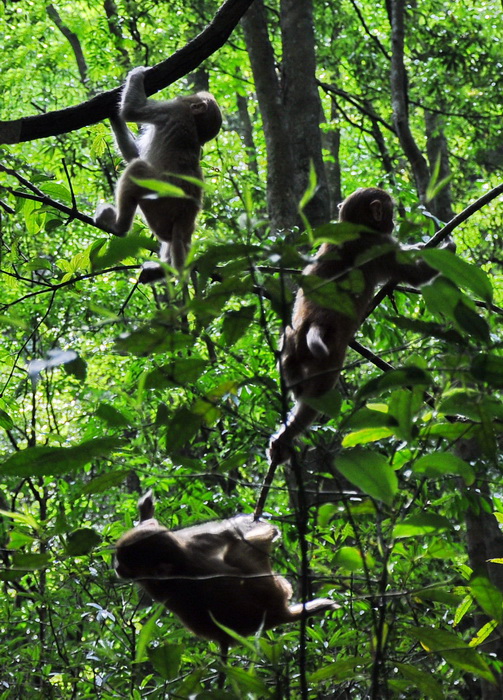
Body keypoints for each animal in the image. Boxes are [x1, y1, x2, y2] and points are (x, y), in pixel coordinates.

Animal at [95, 66, 221, 282]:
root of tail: (184, 216)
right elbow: (134, 153)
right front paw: (112, 113)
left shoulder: (171, 109)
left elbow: (132, 112)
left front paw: (137, 74)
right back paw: (161, 270)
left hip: (157, 202)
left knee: (137, 168)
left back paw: (118, 227)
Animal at [115, 490, 338, 652]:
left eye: (122, 562)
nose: (117, 568)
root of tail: (279, 614)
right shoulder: (195, 542)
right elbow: (231, 533)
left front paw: (145, 512)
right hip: (274, 588)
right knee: (239, 549)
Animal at [270, 186, 458, 464]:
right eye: (389, 213)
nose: (392, 223)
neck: (352, 227)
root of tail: (313, 323)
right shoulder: (382, 246)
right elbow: (416, 275)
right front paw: (447, 246)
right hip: (328, 358)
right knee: (317, 397)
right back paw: (288, 436)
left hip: (288, 349)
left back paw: (282, 438)